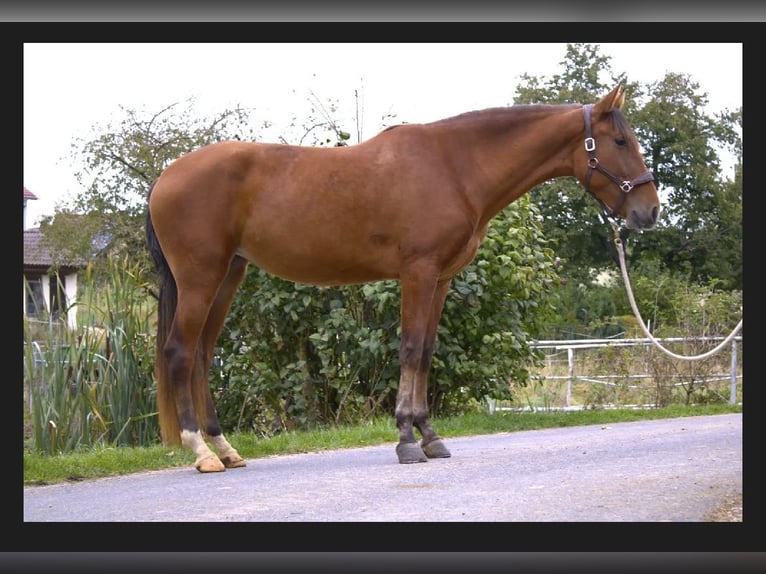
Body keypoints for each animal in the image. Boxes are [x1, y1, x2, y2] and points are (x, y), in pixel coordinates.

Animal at [148, 84, 660, 472]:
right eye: (620, 142)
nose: (649, 211)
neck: (454, 167)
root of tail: (164, 178)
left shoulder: (442, 279)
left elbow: (428, 352)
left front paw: (430, 436)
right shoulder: (418, 271)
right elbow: (411, 349)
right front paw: (406, 440)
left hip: (229, 275)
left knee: (202, 353)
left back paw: (225, 449)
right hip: (200, 276)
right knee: (180, 352)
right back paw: (201, 452)